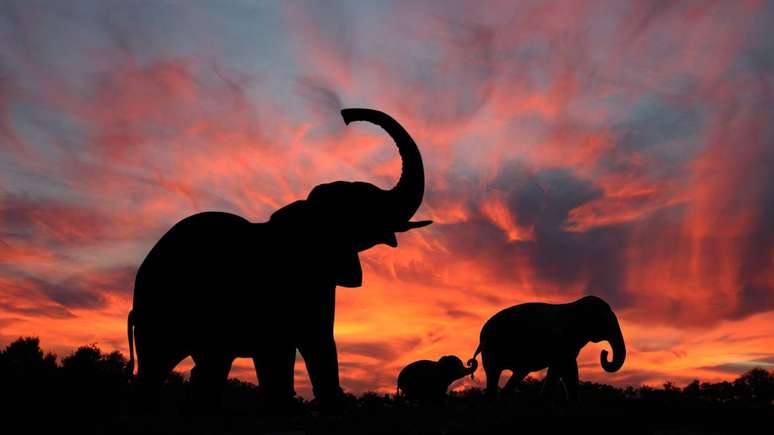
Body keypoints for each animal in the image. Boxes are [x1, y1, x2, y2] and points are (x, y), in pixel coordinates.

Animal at [126, 108, 432, 411]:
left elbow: (317, 349)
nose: (347, 115)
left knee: (209, 368)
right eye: (362, 206)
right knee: (156, 369)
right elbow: (286, 360)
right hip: (159, 309)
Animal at [471, 295, 625, 402]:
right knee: (494, 374)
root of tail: (482, 333)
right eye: (604, 322)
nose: (605, 352)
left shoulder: (570, 346)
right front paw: (543, 400)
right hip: (492, 350)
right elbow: (558, 368)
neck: (575, 306)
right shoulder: (561, 341)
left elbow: (569, 369)